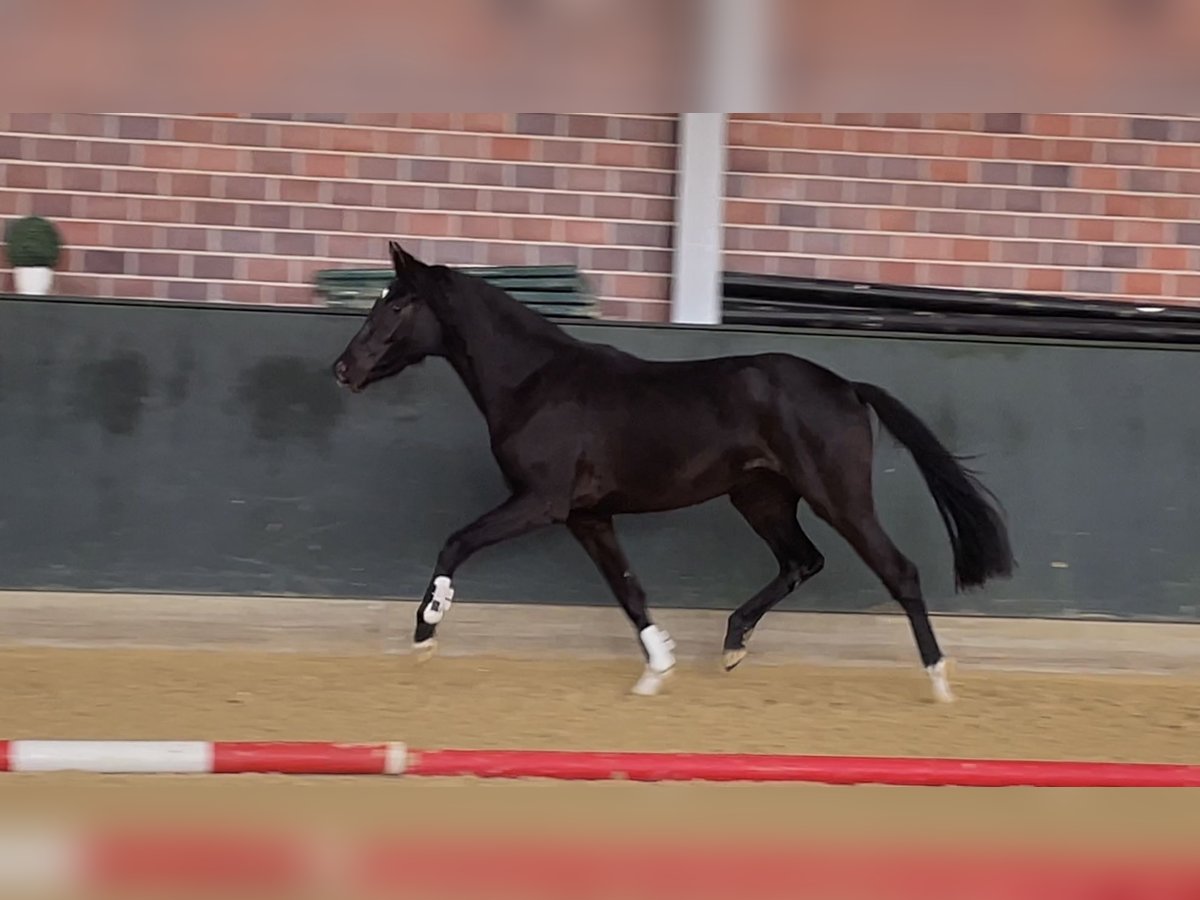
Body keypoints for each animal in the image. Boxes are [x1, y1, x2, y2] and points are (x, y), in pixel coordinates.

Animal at [331, 244, 1012, 705]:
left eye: (397, 305)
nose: (343, 369)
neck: (536, 383)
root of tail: (846, 385)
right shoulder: (588, 516)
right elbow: (629, 590)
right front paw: (656, 670)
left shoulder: (541, 502)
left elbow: (457, 541)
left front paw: (426, 631)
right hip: (761, 498)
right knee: (802, 561)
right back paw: (733, 646)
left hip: (838, 496)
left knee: (898, 570)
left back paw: (940, 680)